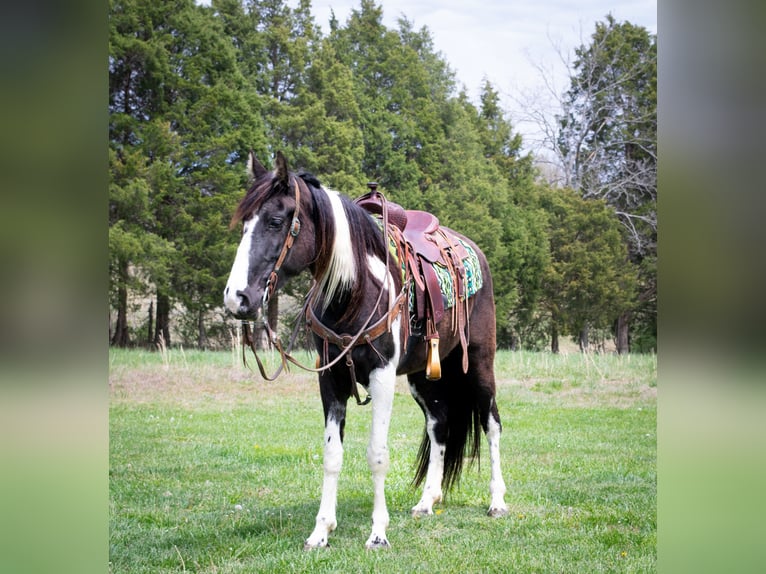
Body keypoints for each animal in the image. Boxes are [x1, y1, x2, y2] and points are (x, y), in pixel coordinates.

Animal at [222, 151, 510, 552]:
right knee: (439, 425)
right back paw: (427, 501)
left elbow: (377, 454)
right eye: (244, 224)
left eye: (275, 221)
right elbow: (332, 454)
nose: (237, 298)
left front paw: (378, 533)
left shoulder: (382, 375)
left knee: (491, 422)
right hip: (423, 377)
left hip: (479, 364)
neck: (354, 291)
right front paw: (321, 531)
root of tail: (474, 251)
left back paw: (497, 502)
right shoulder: (330, 377)